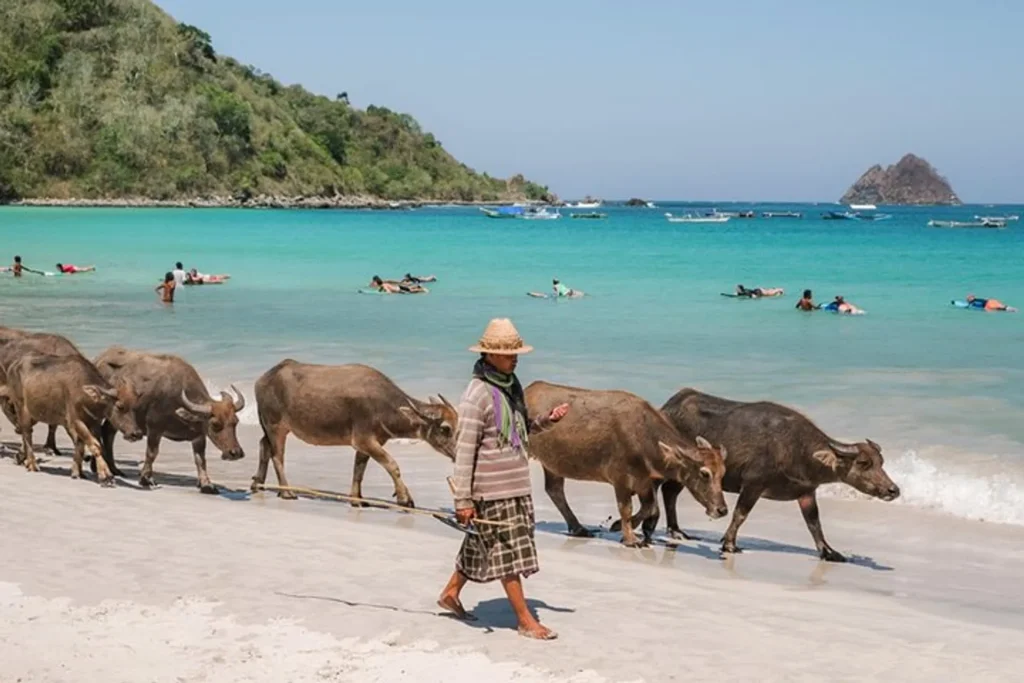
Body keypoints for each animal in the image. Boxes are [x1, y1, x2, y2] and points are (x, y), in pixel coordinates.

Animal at [2, 351, 142, 485]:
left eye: (135, 407)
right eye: (120, 406)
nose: (136, 433)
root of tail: (13, 366)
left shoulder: (94, 423)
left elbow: (81, 445)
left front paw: (77, 472)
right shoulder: (75, 421)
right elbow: (95, 445)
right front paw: (105, 476)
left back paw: (22, 458)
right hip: (21, 408)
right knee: (27, 433)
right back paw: (32, 464)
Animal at [93, 347, 246, 494]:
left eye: (235, 422)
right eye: (215, 424)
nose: (235, 453)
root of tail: (99, 360)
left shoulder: (198, 436)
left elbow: (200, 460)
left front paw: (206, 484)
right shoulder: (154, 428)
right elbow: (152, 453)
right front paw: (146, 479)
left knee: (107, 432)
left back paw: (112, 468)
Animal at [251, 360, 458, 507]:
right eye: (445, 428)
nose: (457, 454)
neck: (385, 406)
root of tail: (262, 379)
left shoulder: (367, 444)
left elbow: (359, 470)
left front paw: (357, 499)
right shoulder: (364, 440)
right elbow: (392, 465)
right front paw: (404, 499)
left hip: (269, 427)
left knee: (264, 445)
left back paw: (258, 483)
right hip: (275, 426)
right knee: (277, 455)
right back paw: (286, 492)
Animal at [525, 381, 729, 547]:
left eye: (722, 473)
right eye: (704, 473)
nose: (722, 510)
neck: (643, 436)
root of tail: (528, 391)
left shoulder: (644, 482)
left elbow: (650, 506)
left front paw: (617, 526)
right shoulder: (620, 480)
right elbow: (626, 508)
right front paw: (630, 538)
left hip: (552, 465)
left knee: (555, 490)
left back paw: (579, 528)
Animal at [656, 388, 901, 562]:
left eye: (881, 462)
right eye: (863, 463)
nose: (893, 490)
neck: (797, 449)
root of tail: (666, 409)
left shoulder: (806, 493)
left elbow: (814, 523)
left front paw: (829, 552)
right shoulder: (753, 484)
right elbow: (740, 514)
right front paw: (730, 544)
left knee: (669, 493)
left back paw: (676, 531)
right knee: (669, 491)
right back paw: (676, 531)